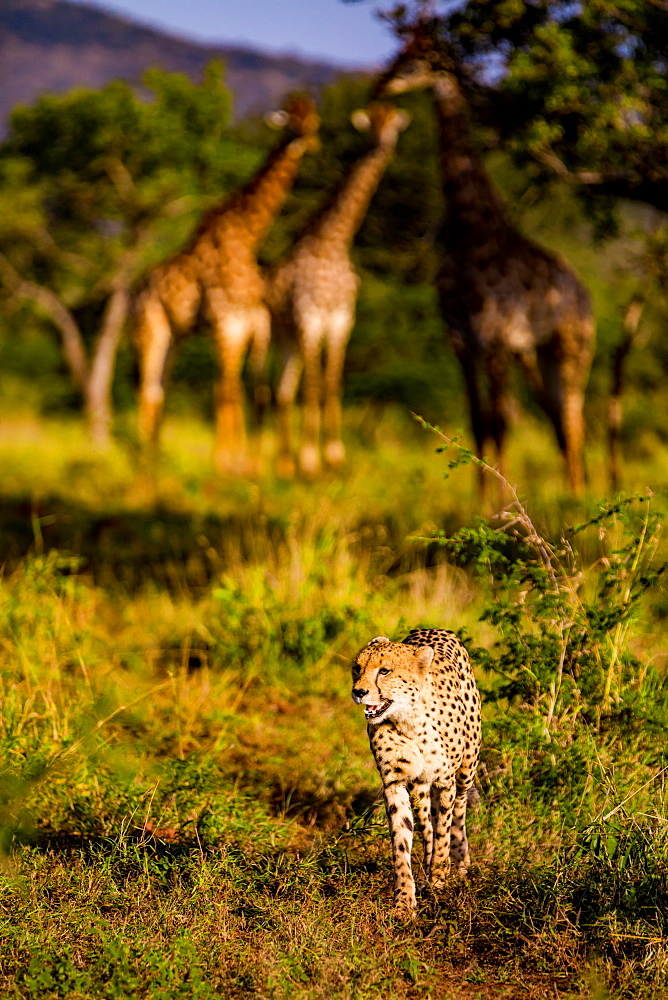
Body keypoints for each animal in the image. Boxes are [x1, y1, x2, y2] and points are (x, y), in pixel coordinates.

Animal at [134, 94, 320, 472]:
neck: (247, 237)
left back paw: (155, 458)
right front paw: (224, 463)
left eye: (313, 120)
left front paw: (240, 463)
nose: (309, 140)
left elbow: (242, 389)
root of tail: (136, 292)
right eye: (291, 121)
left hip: (175, 335)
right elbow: (226, 389)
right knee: (147, 388)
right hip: (150, 326)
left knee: (160, 389)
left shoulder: (249, 321)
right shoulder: (226, 318)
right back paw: (144, 460)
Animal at [264, 103, 410, 478]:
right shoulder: (311, 318)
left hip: (293, 339)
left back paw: (286, 462)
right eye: (372, 124)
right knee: (283, 390)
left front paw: (334, 456)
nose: (383, 144)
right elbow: (315, 386)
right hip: (280, 333)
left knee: (285, 389)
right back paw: (285, 464)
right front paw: (311, 460)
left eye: (393, 125)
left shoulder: (341, 320)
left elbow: (333, 383)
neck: (331, 244)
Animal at [352, 628, 478, 916]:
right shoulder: (395, 782)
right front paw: (404, 902)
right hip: (419, 786)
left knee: (459, 811)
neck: (409, 719)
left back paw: (460, 863)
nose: (358, 692)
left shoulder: (445, 781)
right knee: (425, 824)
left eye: (384, 671)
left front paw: (439, 881)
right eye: (357, 668)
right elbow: (401, 842)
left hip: (467, 768)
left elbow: (444, 831)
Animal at [376, 29, 596, 498]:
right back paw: (573, 490)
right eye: (397, 53)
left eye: (417, 60)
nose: (381, 86)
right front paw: (478, 499)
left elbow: (500, 422)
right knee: (559, 417)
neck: (470, 234)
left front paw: (500, 500)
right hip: (539, 351)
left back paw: (578, 496)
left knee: (574, 417)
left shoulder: (494, 339)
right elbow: (478, 422)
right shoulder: (462, 341)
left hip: (573, 346)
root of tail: (583, 293)